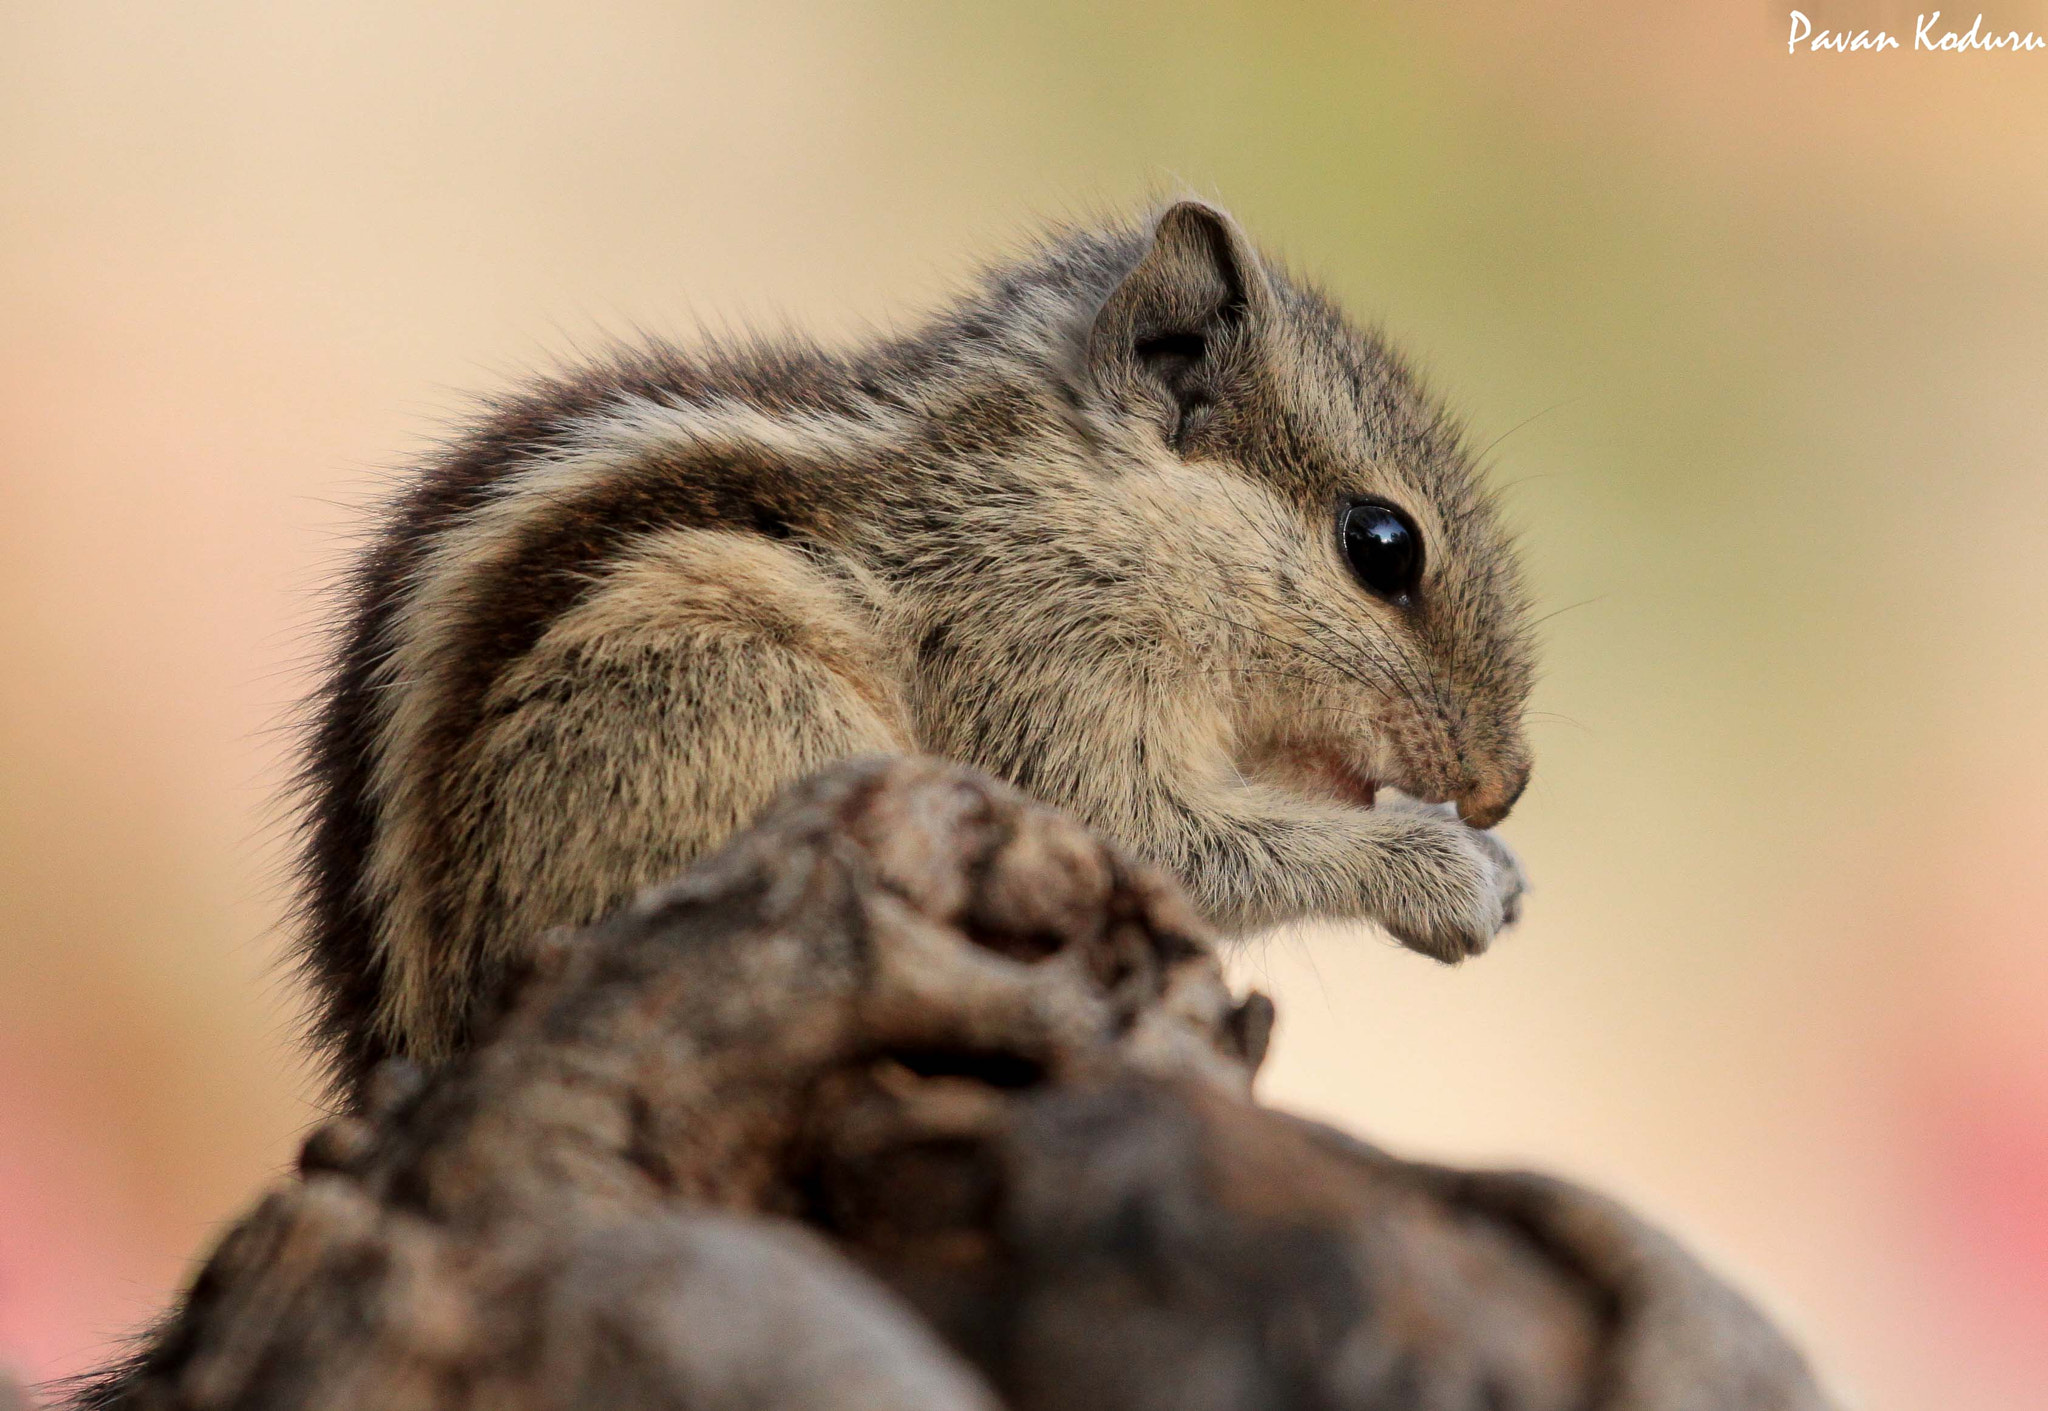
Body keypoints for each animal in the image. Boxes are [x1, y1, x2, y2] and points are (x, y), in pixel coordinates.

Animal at [296, 198, 1531, 1097]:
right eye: (1380, 546)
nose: (1503, 787)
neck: (1080, 501)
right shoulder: (1038, 670)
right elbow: (1165, 842)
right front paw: (1448, 875)